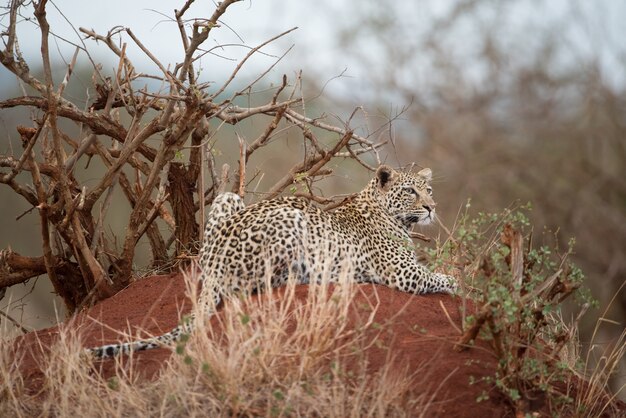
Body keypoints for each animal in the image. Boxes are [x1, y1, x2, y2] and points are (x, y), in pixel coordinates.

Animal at [88, 165, 456, 358]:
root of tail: (216, 263)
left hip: (228, 199)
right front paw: (454, 283)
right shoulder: (403, 274)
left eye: (429, 189)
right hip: (292, 221)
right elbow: (442, 278)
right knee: (260, 286)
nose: (432, 207)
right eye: (410, 191)